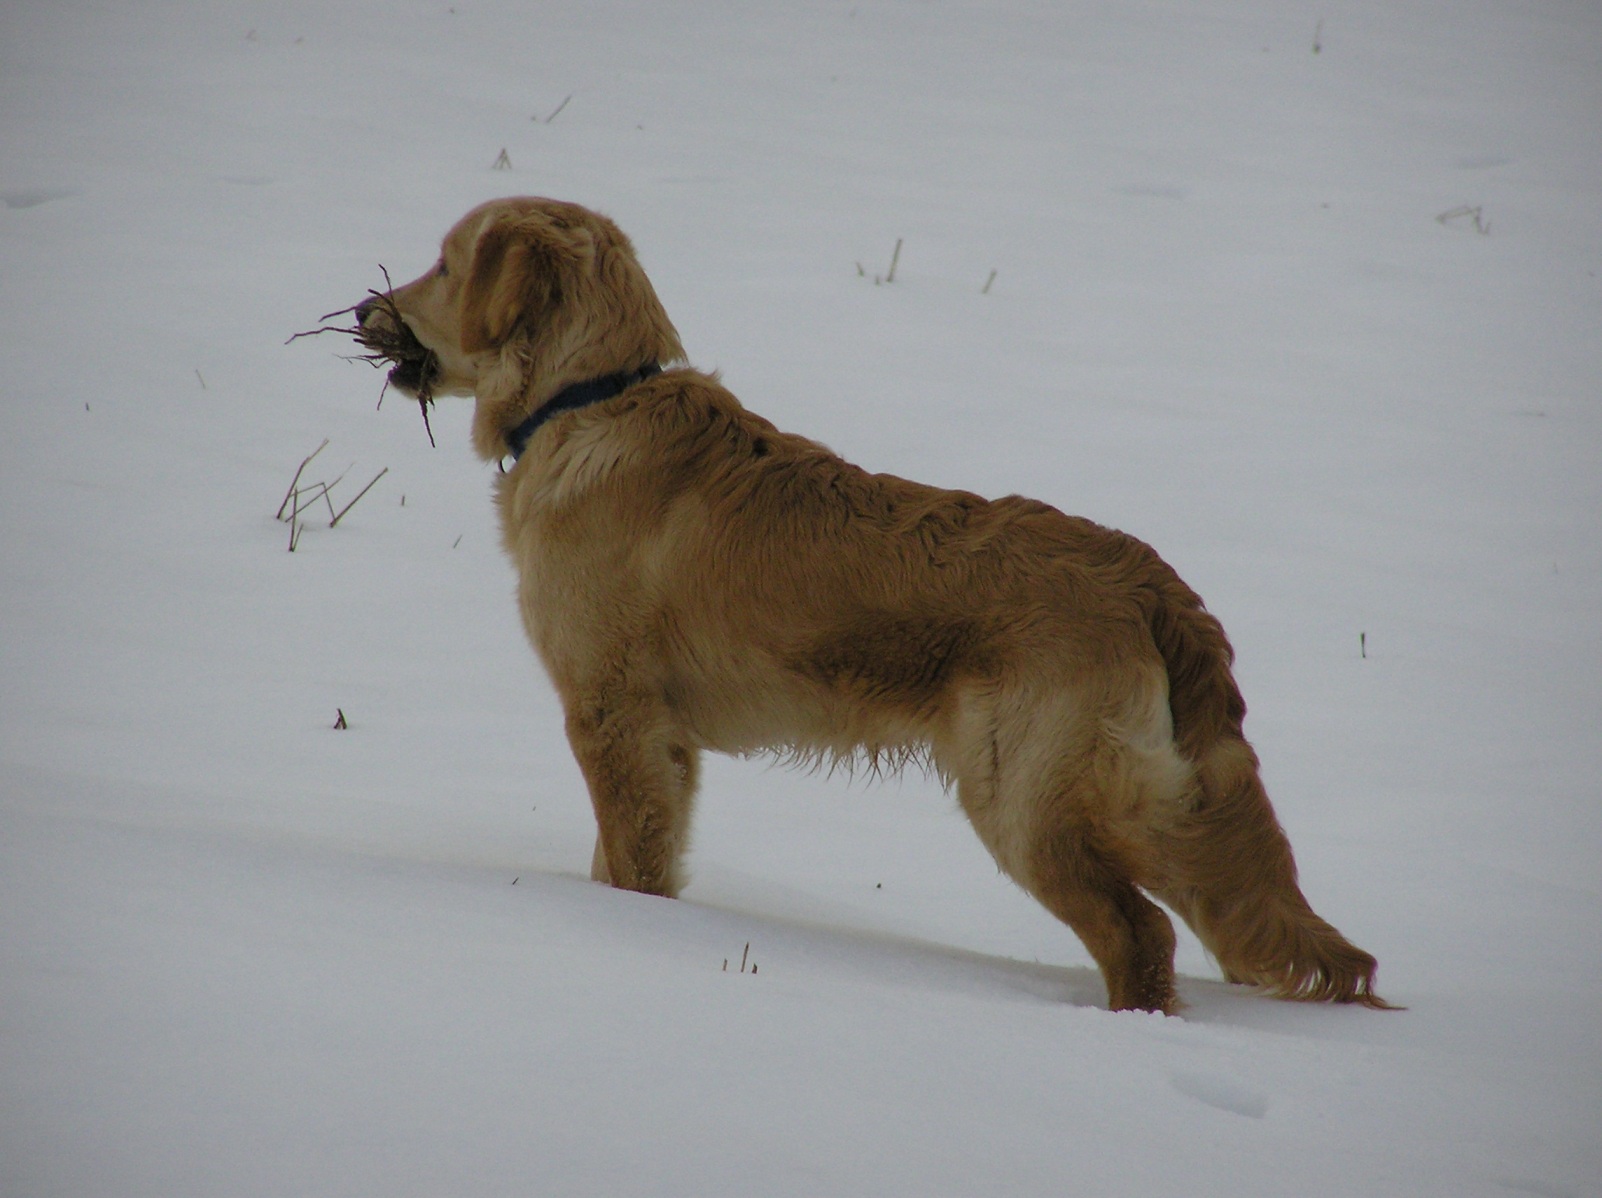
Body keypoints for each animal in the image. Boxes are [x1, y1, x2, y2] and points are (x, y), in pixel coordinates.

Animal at [357, 196, 1384, 1012]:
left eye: (443, 264)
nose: (368, 308)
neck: (589, 400)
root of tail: (1153, 583)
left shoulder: (615, 718)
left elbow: (629, 869)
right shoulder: (668, 743)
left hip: (1027, 802)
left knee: (1144, 934)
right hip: (1158, 801)